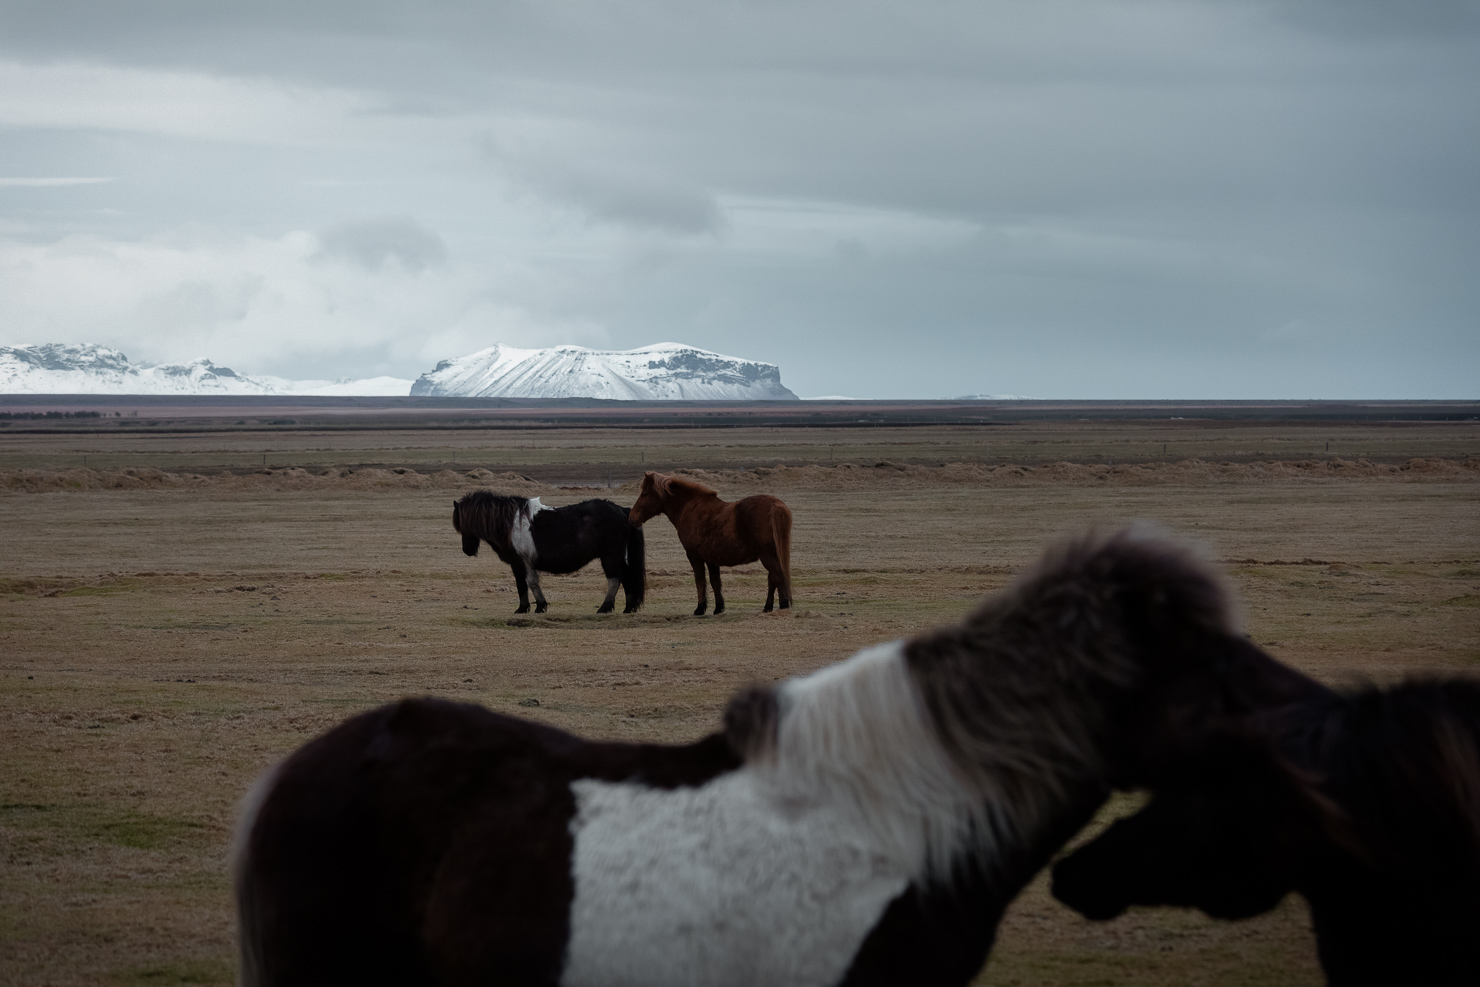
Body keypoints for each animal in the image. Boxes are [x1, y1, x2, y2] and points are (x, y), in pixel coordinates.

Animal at [444, 494, 642, 618]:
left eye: (463, 524)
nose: (467, 550)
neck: (510, 524)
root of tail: (623, 511)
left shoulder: (523, 561)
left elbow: (530, 583)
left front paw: (538, 606)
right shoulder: (517, 563)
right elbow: (521, 584)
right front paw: (524, 608)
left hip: (610, 556)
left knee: (616, 579)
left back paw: (605, 607)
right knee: (626, 578)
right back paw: (628, 607)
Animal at [633, 473, 799, 618]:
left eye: (644, 494)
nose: (632, 517)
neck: (690, 508)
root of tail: (776, 505)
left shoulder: (694, 556)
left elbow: (700, 580)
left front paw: (700, 608)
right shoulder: (712, 559)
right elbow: (715, 582)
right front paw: (719, 608)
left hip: (767, 555)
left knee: (777, 575)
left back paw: (783, 605)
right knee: (773, 578)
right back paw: (768, 607)